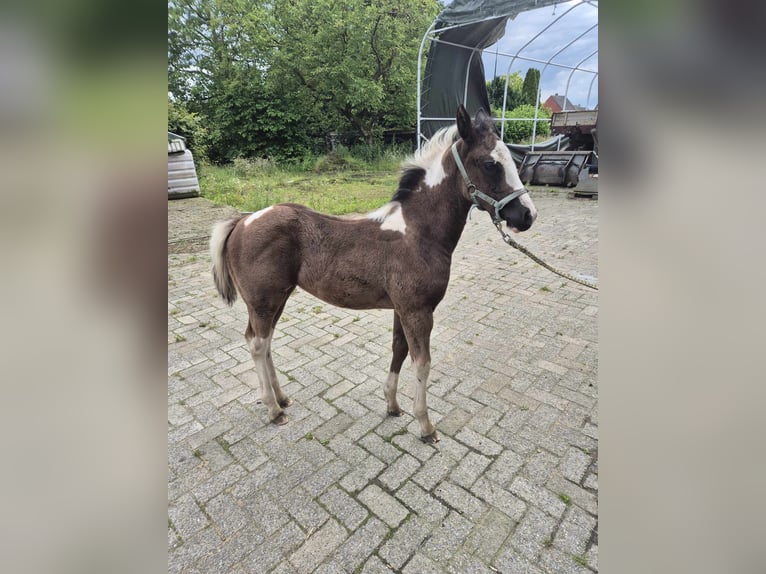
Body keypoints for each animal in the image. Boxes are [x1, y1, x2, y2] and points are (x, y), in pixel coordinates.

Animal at [207, 106, 536, 444]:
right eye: (490, 164)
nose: (527, 215)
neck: (417, 233)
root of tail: (242, 221)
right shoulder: (418, 311)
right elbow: (422, 363)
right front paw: (426, 426)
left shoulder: (403, 309)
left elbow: (399, 351)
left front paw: (392, 405)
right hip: (263, 301)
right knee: (258, 344)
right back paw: (274, 410)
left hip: (277, 299)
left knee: (265, 341)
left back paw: (281, 398)